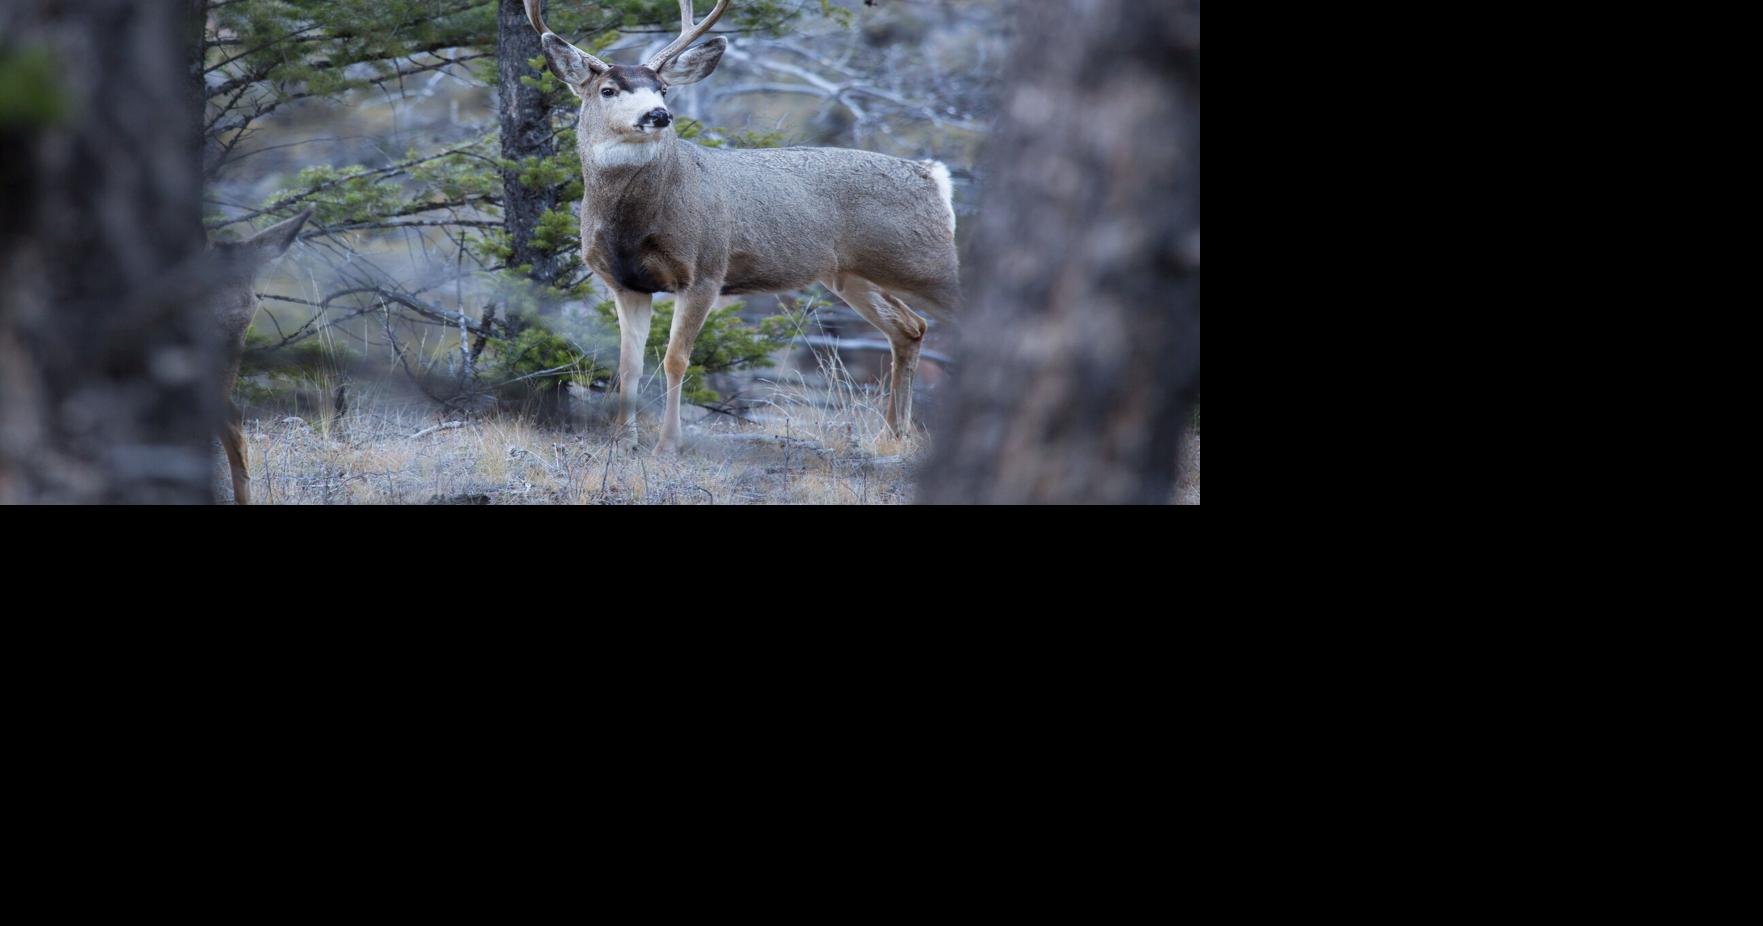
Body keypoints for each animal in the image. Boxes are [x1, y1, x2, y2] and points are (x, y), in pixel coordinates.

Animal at [524, 0, 960, 452]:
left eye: (662, 88)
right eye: (607, 90)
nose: (658, 114)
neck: (635, 226)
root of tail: (935, 177)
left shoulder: (705, 270)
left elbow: (676, 359)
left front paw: (668, 443)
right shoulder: (625, 282)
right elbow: (628, 363)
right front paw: (623, 440)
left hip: (927, 264)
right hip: (851, 275)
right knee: (910, 328)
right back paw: (891, 434)